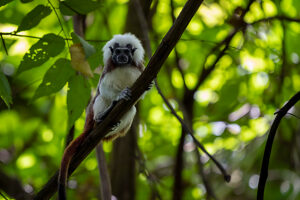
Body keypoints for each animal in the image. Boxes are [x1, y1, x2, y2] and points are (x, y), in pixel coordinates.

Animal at [58, 33, 145, 199]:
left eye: (126, 51)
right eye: (117, 52)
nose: (122, 57)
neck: (123, 66)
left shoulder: (139, 71)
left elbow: (139, 96)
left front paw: (148, 86)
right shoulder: (108, 70)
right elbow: (103, 89)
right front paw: (119, 96)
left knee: (131, 109)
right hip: (91, 116)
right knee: (100, 97)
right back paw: (102, 116)